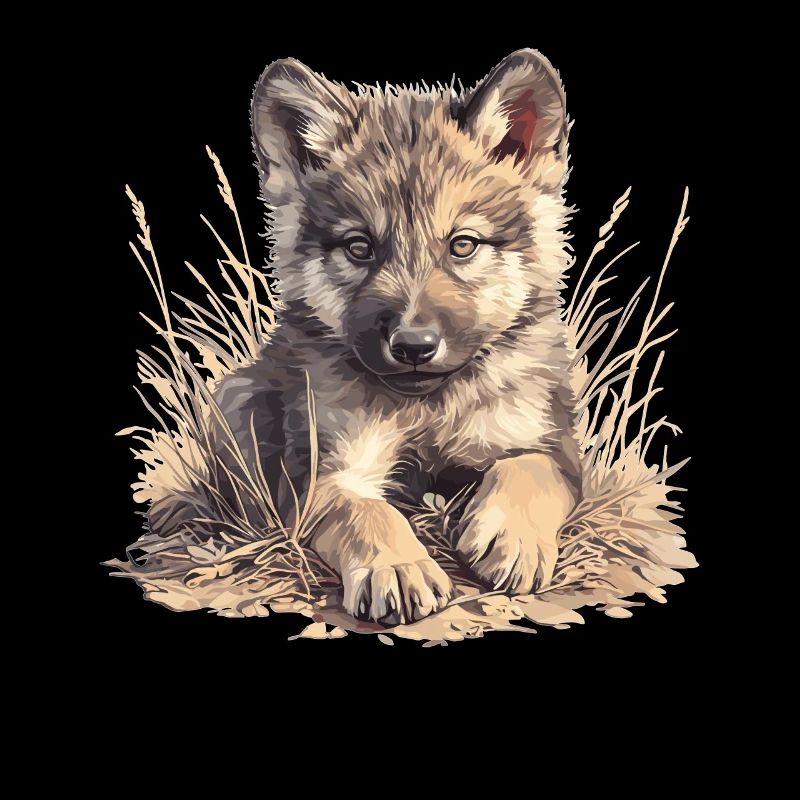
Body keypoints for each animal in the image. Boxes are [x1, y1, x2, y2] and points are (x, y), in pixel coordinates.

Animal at [159, 49, 582, 625]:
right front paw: (397, 566)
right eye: (359, 248)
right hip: (235, 397)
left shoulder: (549, 443)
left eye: (463, 246)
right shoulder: (322, 473)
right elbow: (364, 511)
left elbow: (529, 469)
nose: (413, 347)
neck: (427, 408)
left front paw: (511, 536)